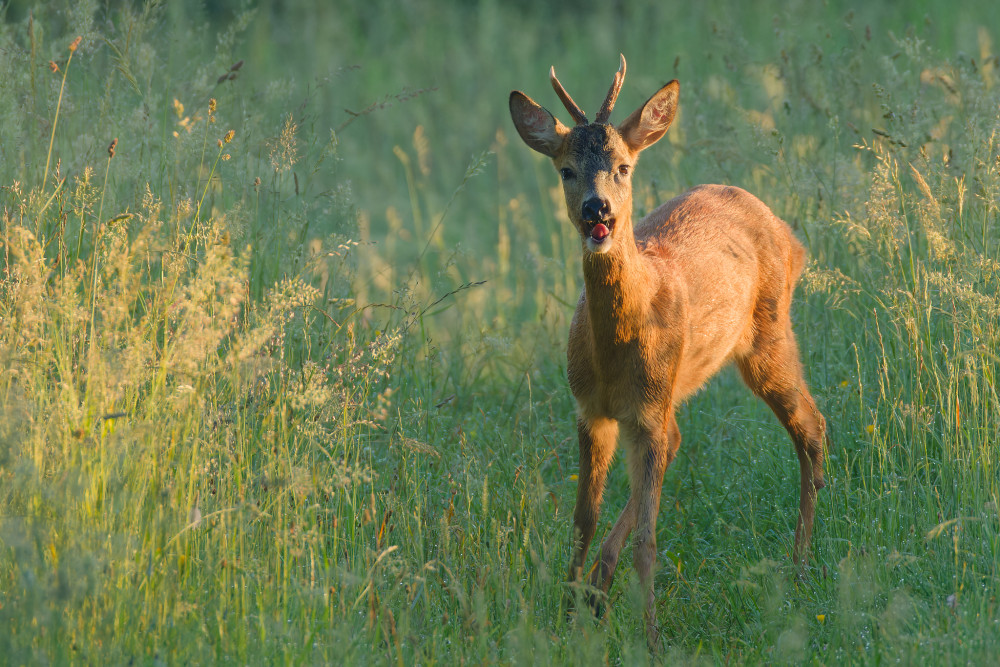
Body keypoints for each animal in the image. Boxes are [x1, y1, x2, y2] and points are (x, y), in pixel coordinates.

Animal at [508, 54, 828, 644]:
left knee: (811, 426)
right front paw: (566, 617)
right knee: (693, 438)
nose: (597, 210)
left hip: (767, 338)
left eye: (623, 167)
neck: (616, 356)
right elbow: (582, 521)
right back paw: (597, 591)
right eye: (565, 169)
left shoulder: (646, 412)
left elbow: (648, 540)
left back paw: (798, 567)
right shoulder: (592, 411)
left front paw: (652, 638)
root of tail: (789, 234)